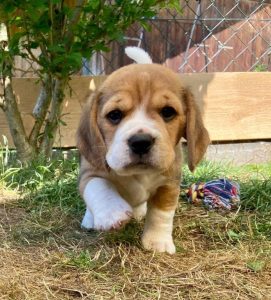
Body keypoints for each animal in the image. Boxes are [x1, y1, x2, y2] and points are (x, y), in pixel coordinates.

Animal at [77, 47, 210, 253]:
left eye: (168, 112)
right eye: (114, 115)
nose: (140, 142)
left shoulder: (169, 183)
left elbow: (161, 213)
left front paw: (157, 242)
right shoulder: (90, 173)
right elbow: (99, 187)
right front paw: (112, 213)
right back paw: (90, 219)